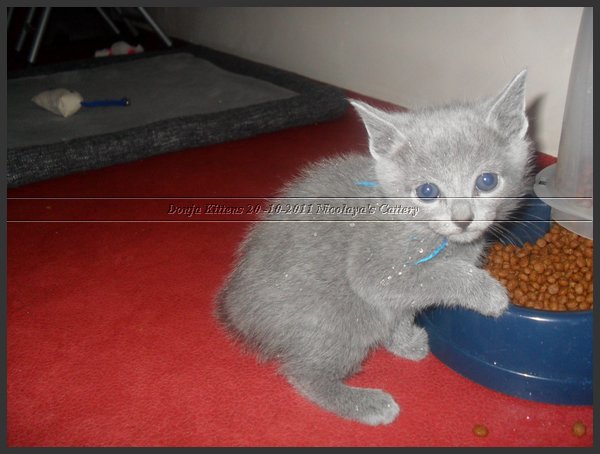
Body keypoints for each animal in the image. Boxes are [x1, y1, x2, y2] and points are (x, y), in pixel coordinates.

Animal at [214, 70, 528, 426]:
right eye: (427, 191)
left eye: (487, 181)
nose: (463, 219)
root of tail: (237, 306)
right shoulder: (373, 265)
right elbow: (434, 276)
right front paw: (489, 294)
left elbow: (404, 306)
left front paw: (403, 340)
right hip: (341, 316)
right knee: (304, 373)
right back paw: (363, 402)